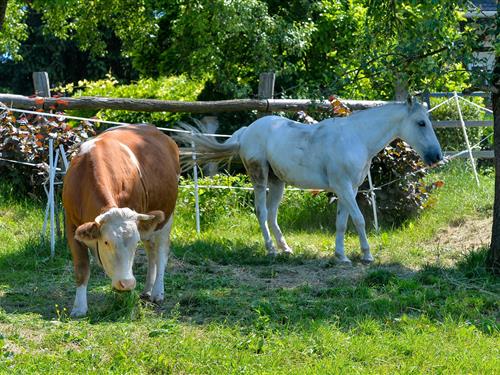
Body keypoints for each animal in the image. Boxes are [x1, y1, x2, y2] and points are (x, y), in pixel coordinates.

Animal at [62, 125, 180, 318]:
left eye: (134, 243)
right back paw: (147, 289)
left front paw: (123, 301)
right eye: (106, 242)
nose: (127, 283)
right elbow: (81, 268)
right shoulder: (71, 225)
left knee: (161, 252)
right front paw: (79, 308)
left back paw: (157, 292)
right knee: (151, 252)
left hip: (166, 217)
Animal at [178, 97, 444, 264]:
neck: (356, 138)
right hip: (260, 178)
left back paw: (286, 248)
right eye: (421, 123)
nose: (436, 156)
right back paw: (271, 250)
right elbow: (358, 220)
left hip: (277, 183)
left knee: (272, 215)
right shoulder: (343, 188)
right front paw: (367, 256)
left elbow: (341, 223)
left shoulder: (348, 189)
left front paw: (341, 256)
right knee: (262, 213)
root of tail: (246, 132)